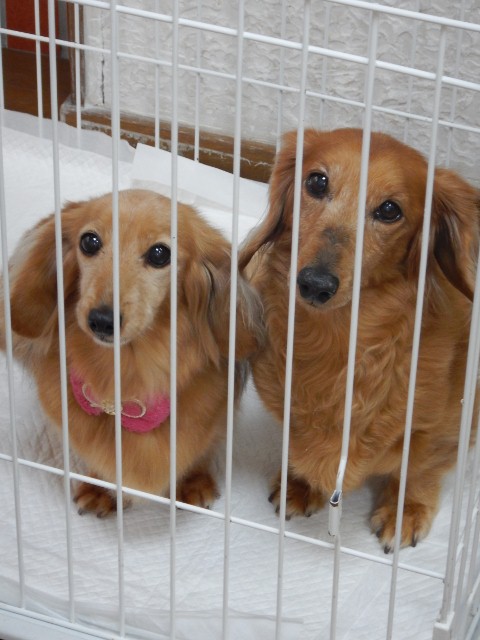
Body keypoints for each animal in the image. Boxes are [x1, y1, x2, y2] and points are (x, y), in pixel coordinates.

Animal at [1, 189, 262, 516]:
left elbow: (200, 451)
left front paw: (193, 481)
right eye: (89, 242)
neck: (129, 370)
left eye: (160, 253)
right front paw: (100, 487)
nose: (102, 320)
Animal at [239, 128, 479, 551]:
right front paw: (301, 483)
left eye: (390, 210)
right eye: (317, 182)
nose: (315, 283)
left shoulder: (444, 428)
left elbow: (418, 468)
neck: (341, 343)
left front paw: (405, 510)